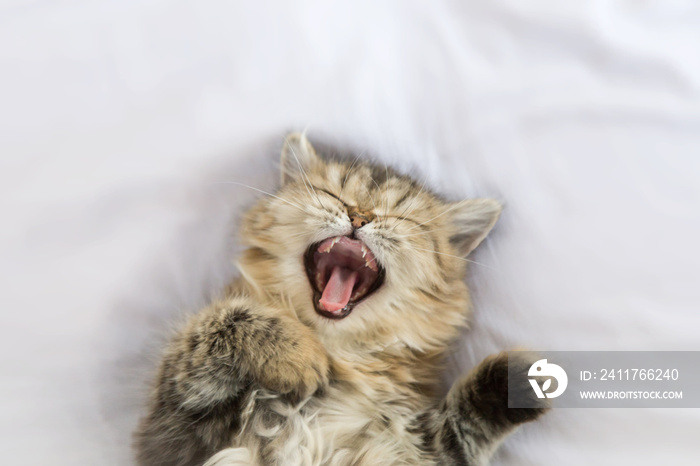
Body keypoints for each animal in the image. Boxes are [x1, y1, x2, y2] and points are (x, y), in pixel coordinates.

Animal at [133, 133, 548, 464]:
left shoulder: (419, 445)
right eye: (334, 195)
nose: (360, 217)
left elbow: (462, 421)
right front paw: (299, 357)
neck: (338, 352)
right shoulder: (174, 432)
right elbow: (224, 321)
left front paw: (525, 377)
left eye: (401, 218)